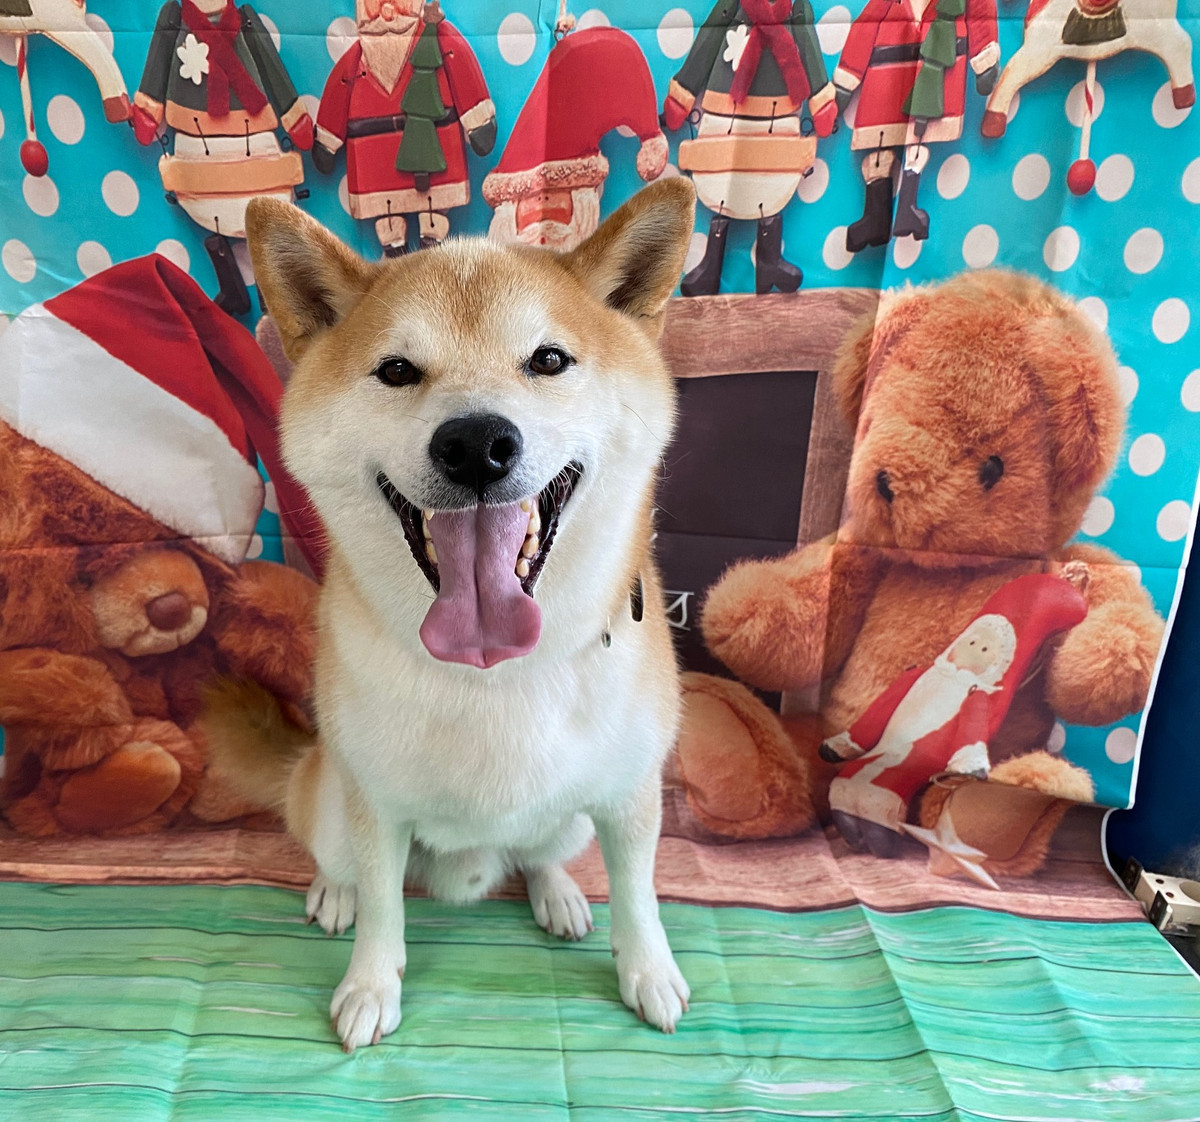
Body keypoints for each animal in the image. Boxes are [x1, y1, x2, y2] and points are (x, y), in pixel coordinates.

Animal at [202, 178, 697, 1051]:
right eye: (397, 370)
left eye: (548, 359)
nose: (475, 443)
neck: (494, 670)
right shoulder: (374, 804)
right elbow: (384, 908)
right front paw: (370, 986)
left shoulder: (629, 794)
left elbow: (639, 895)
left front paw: (648, 973)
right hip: (330, 798)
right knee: (342, 864)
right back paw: (334, 894)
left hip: (567, 820)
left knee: (540, 852)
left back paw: (556, 892)